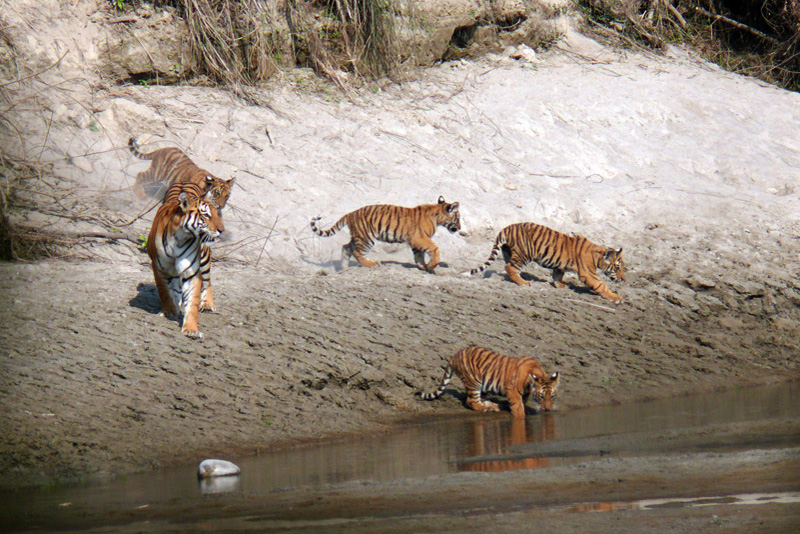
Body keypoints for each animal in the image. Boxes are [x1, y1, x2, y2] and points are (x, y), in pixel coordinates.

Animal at [145, 180, 222, 340]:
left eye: (216, 215)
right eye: (206, 215)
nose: (221, 230)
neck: (180, 238)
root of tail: (185, 181)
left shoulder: (192, 272)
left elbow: (192, 301)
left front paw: (191, 329)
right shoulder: (159, 268)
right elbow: (164, 291)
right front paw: (169, 311)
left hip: (204, 257)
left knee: (208, 281)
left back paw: (207, 304)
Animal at [312, 197, 462, 274]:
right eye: (458, 217)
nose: (460, 228)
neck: (437, 216)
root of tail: (350, 213)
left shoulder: (415, 241)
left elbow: (419, 256)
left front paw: (424, 267)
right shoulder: (420, 238)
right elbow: (434, 248)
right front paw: (432, 265)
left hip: (357, 236)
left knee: (346, 248)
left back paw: (344, 268)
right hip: (366, 238)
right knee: (357, 252)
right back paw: (373, 264)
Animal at [416, 346, 560, 420]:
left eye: (552, 396)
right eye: (541, 396)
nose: (548, 409)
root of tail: (454, 355)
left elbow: (522, 402)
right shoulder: (511, 389)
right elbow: (518, 405)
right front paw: (521, 415)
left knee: (480, 399)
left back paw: (493, 405)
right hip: (473, 382)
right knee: (471, 401)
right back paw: (487, 408)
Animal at [468, 223, 624, 306]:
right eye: (617, 268)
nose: (623, 279)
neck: (598, 256)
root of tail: (507, 227)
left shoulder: (560, 264)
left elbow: (558, 274)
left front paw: (560, 285)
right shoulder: (588, 274)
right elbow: (601, 285)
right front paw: (616, 298)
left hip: (509, 252)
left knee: (508, 267)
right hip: (524, 253)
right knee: (510, 267)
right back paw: (524, 282)